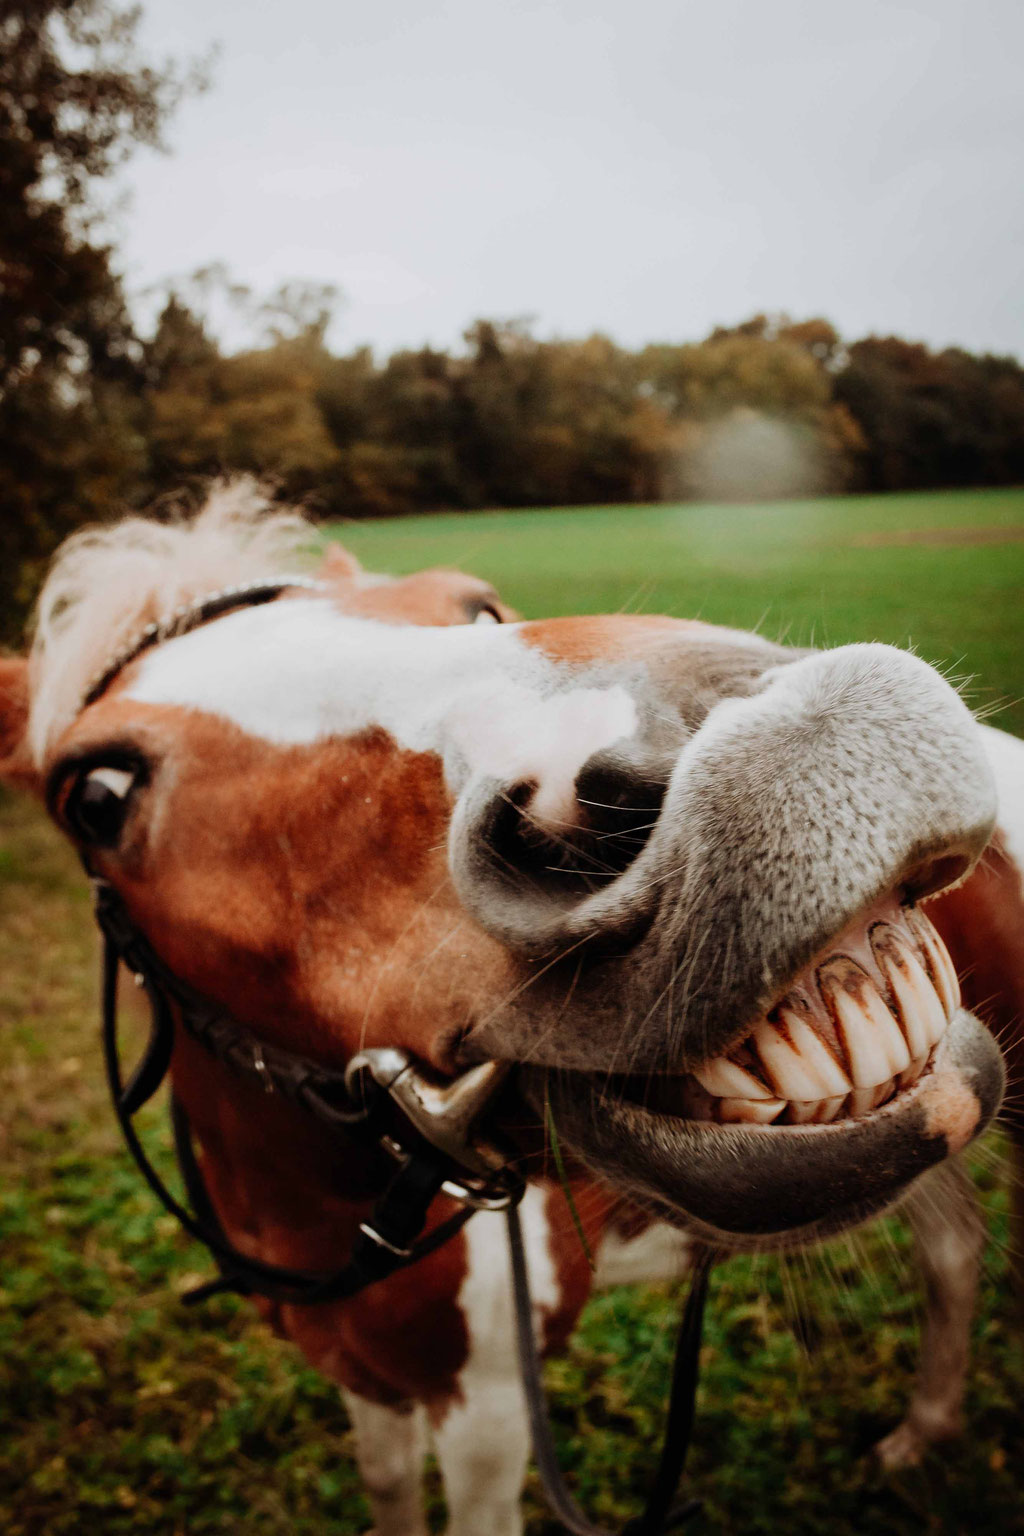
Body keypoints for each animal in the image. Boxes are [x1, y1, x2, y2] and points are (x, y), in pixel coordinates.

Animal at [0, 482, 1019, 1536]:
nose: (799, 730)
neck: (326, 1215)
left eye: (474, 603)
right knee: (951, 1246)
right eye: (96, 796)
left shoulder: (487, 1418)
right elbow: (388, 1489)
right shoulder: (364, 1384)